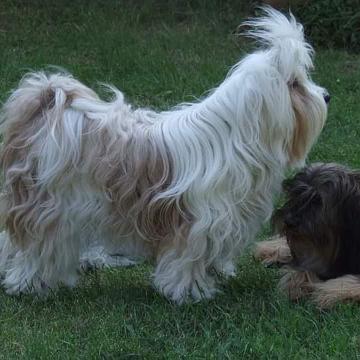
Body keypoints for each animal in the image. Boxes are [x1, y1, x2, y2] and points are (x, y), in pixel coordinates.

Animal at [0, 7, 330, 302]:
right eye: (295, 84)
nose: (326, 95)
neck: (238, 138)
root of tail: (47, 105)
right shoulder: (197, 224)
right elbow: (187, 260)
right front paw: (190, 293)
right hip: (49, 210)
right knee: (36, 249)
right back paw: (30, 284)